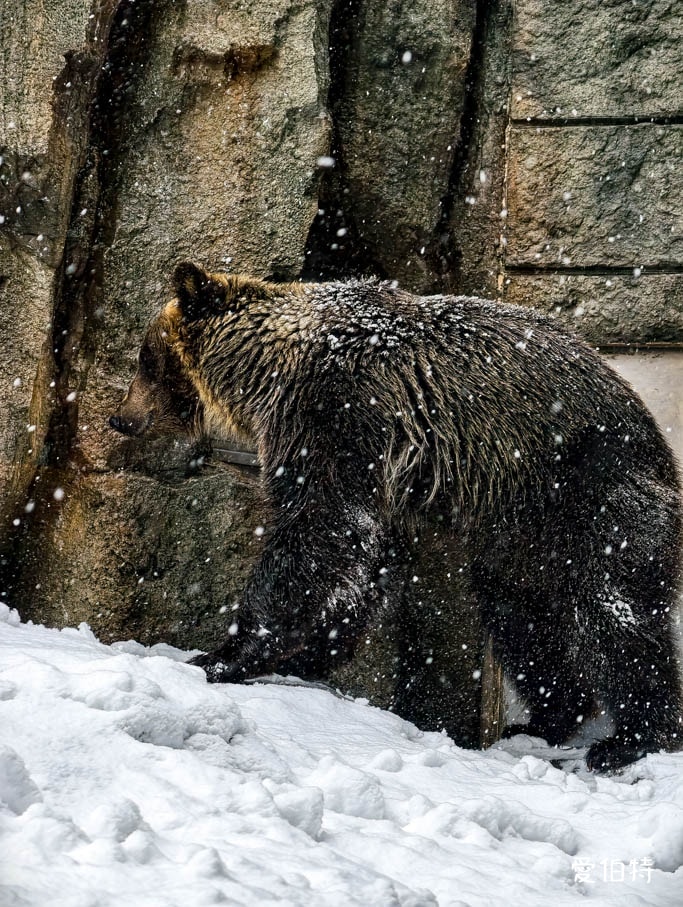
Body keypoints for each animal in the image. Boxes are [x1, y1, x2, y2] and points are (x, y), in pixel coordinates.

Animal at [110, 261, 683, 772]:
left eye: (145, 358)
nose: (120, 417)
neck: (273, 370)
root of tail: (661, 448)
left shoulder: (339, 411)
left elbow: (321, 525)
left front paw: (224, 654)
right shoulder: (379, 461)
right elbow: (362, 550)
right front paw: (311, 651)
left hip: (588, 490)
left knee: (613, 615)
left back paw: (629, 739)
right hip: (520, 532)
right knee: (520, 613)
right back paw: (543, 720)